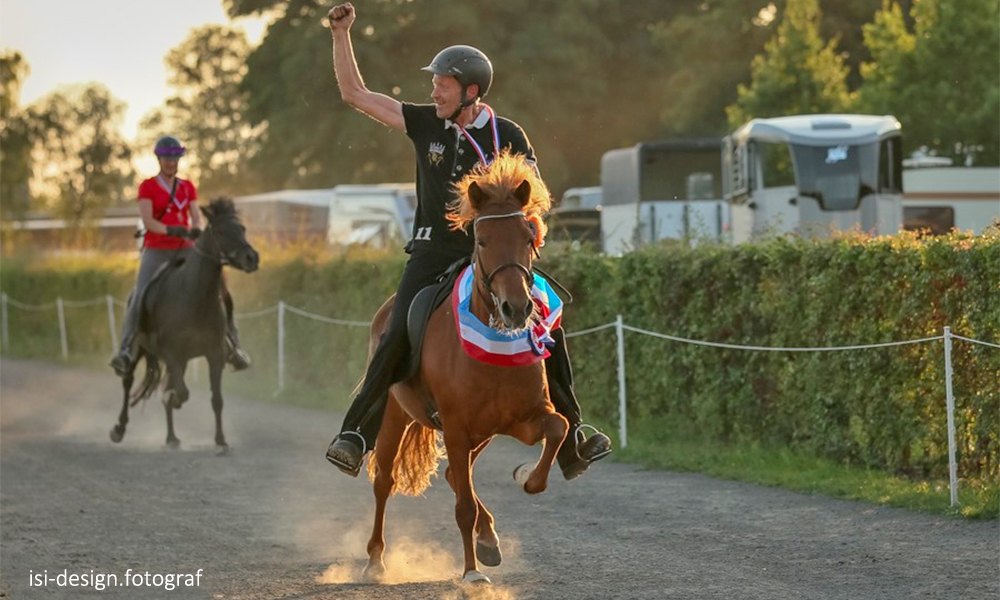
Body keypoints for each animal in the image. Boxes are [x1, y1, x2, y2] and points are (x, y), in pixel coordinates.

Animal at [110, 199, 258, 452]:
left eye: (242, 228)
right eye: (221, 231)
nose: (252, 258)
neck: (194, 296)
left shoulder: (214, 354)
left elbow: (216, 400)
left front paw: (221, 441)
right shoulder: (171, 352)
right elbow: (181, 392)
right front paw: (175, 399)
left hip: (183, 359)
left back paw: (172, 437)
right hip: (139, 350)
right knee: (128, 383)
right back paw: (119, 429)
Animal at [366, 151, 572, 584]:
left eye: (528, 238)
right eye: (482, 240)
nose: (516, 308)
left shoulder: (522, 419)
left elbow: (558, 428)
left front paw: (526, 476)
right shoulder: (457, 428)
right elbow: (463, 506)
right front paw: (471, 573)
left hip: (484, 433)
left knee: (454, 478)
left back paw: (489, 539)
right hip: (396, 415)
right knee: (385, 481)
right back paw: (375, 559)